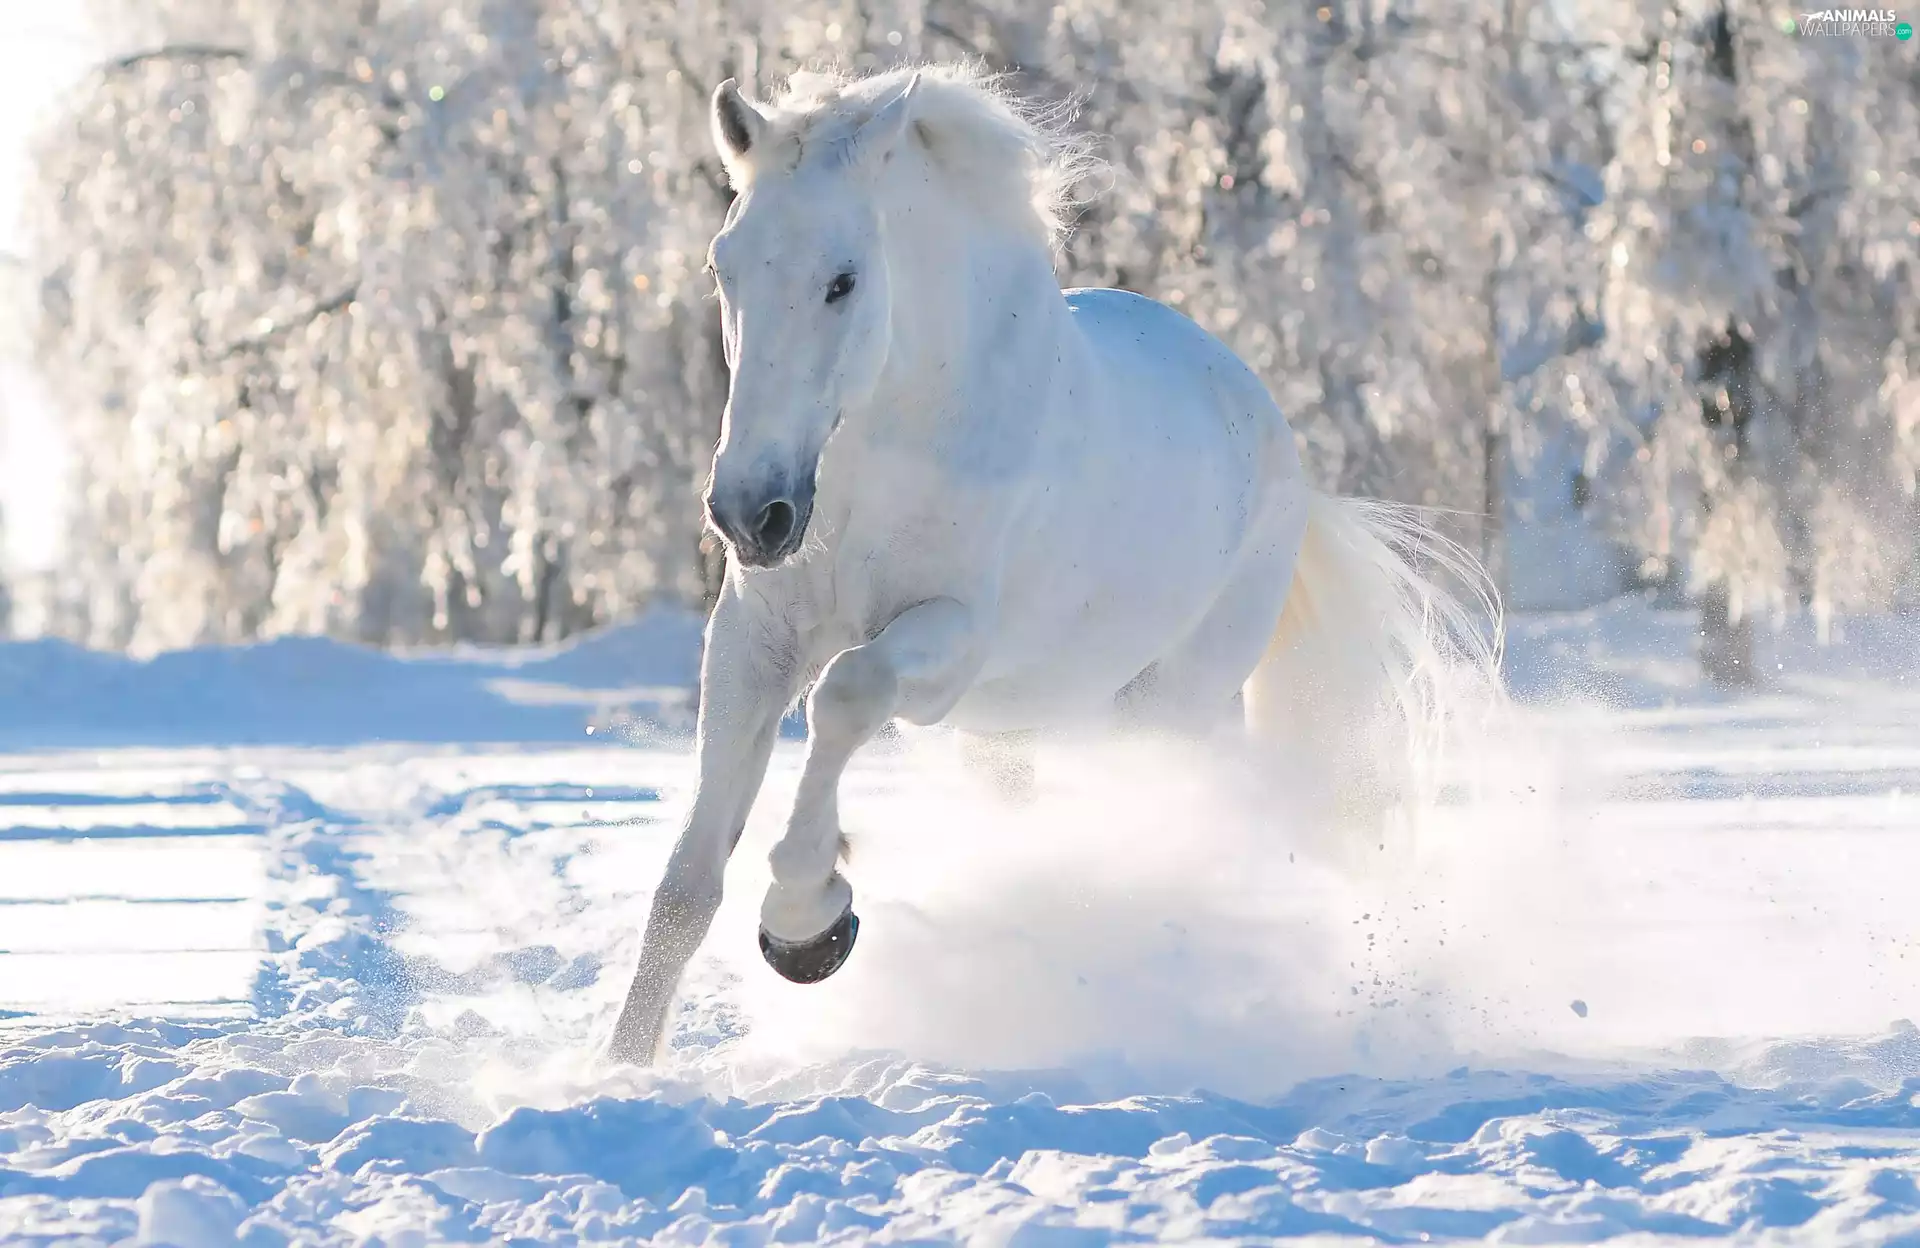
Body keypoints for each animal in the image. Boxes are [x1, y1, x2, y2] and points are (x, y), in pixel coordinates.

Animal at [607, 63, 1500, 1065]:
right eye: (723, 266)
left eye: (843, 279)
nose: (749, 512)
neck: (887, 449)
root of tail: (1275, 438)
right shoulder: (754, 643)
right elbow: (686, 887)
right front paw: (620, 1069)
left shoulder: (953, 642)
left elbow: (843, 695)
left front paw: (808, 923)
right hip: (1011, 737)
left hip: (1162, 710)